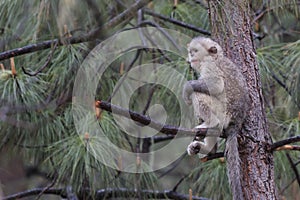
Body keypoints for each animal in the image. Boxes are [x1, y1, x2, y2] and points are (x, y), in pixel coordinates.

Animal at [182, 36, 250, 200]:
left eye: (195, 51)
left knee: (199, 94)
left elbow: (215, 85)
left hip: (222, 113)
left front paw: (187, 87)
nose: (190, 57)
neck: (215, 57)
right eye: (190, 52)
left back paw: (211, 123)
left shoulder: (210, 65)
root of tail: (236, 121)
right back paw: (209, 149)